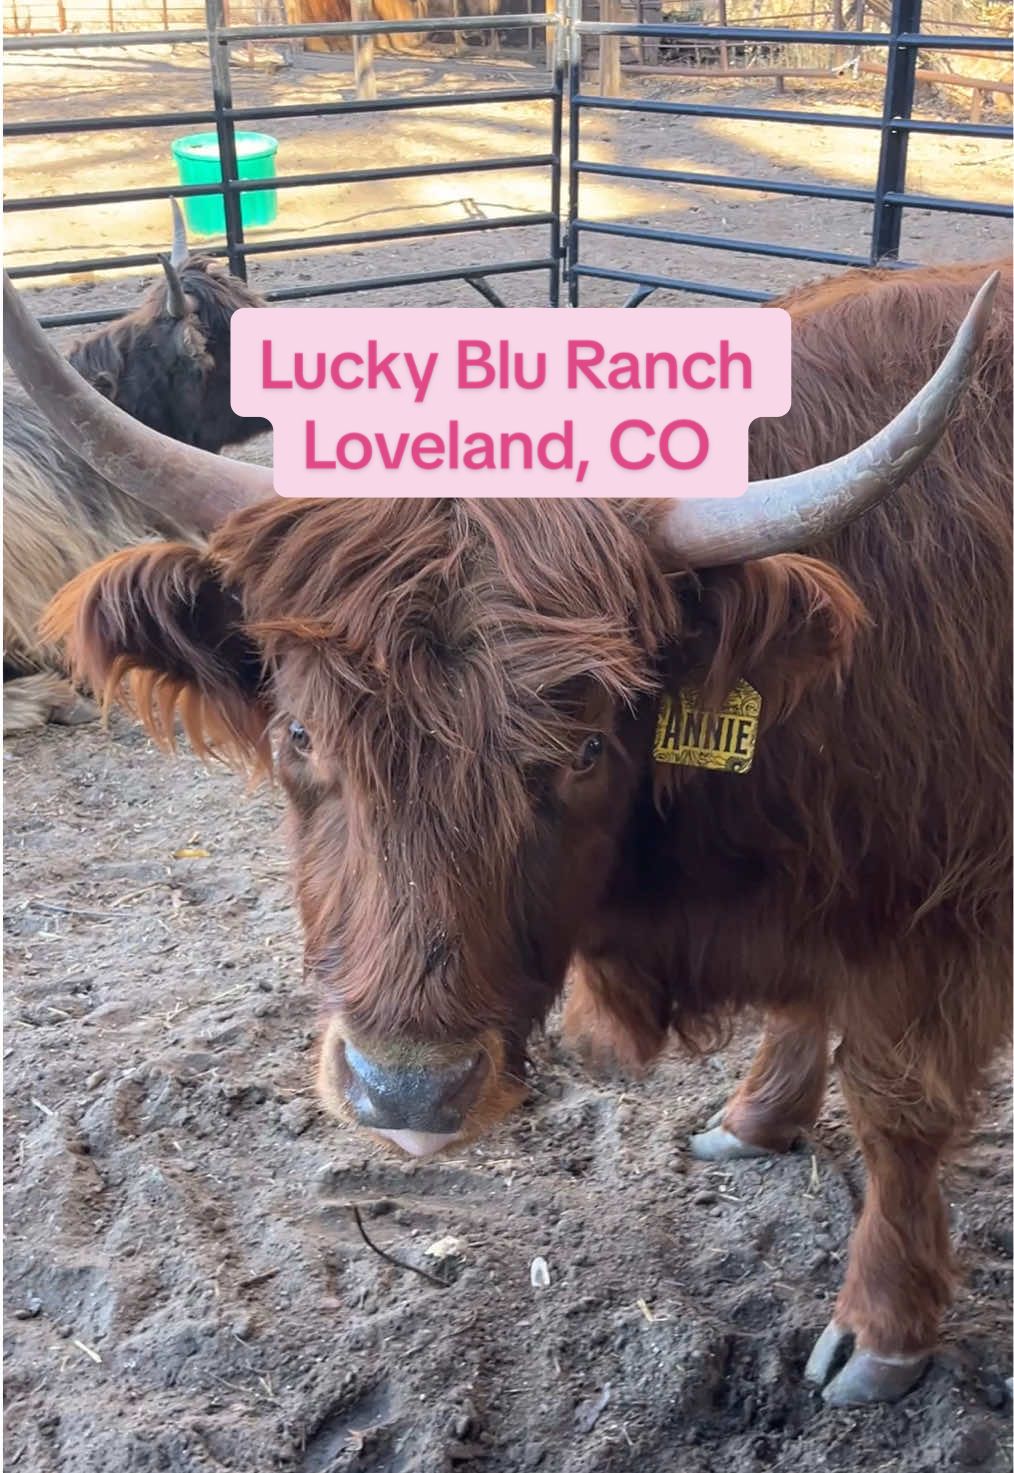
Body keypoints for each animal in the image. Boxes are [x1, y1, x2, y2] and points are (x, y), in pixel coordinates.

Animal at [4, 257, 1010, 1409]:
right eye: (301, 732)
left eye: (584, 749)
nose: (405, 1089)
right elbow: (808, 1011)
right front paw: (758, 1119)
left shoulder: (938, 927)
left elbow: (898, 1116)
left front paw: (883, 1327)